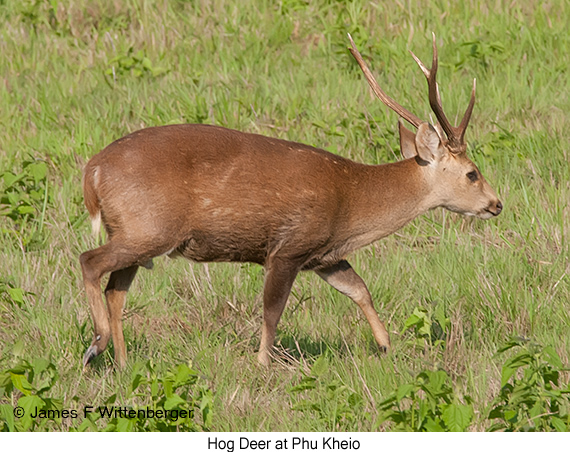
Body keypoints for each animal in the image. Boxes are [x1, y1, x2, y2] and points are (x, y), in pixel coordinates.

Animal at [79, 34, 496, 368]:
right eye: (472, 173)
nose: (497, 204)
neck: (351, 200)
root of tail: (92, 172)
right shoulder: (289, 246)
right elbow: (272, 311)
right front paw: (263, 363)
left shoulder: (323, 254)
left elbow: (359, 288)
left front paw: (386, 345)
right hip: (147, 227)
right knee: (89, 261)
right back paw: (96, 345)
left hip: (136, 232)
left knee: (115, 290)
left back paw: (122, 362)